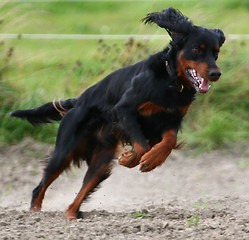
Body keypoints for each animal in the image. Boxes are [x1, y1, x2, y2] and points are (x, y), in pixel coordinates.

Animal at [10, 7, 226, 220]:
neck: (171, 81)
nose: (216, 74)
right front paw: (132, 159)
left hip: (100, 163)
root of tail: (78, 101)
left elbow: (169, 141)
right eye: (197, 49)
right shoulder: (124, 109)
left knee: (81, 191)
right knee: (39, 187)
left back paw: (71, 216)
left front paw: (151, 159)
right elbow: (141, 145)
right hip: (65, 151)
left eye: (216, 52)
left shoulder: (172, 120)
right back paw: (35, 215)